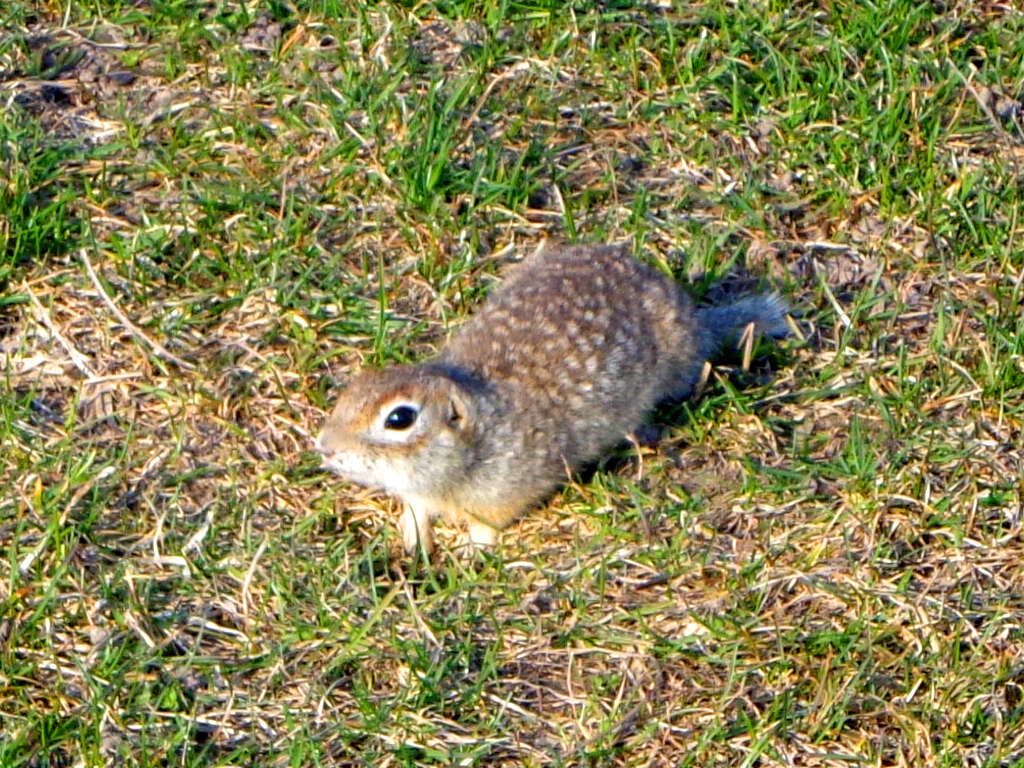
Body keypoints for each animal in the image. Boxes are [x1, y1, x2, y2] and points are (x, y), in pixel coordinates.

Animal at [315, 243, 786, 557]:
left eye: (399, 419)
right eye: (353, 388)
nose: (325, 448)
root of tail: (695, 317)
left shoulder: (502, 493)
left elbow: (487, 526)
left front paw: (471, 553)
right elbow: (415, 509)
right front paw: (414, 539)